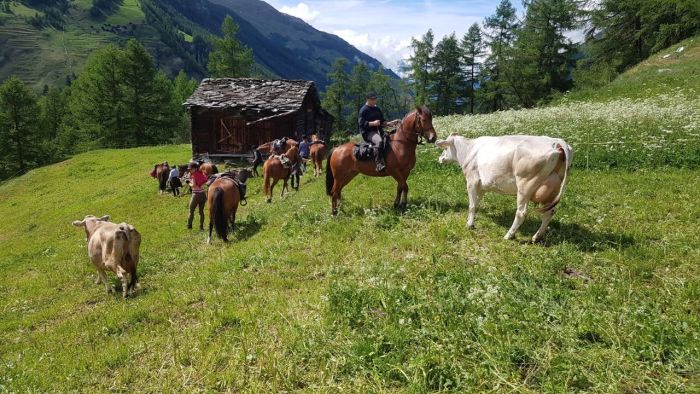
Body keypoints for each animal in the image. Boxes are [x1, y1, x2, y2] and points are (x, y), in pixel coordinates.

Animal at [438, 134, 576, 242]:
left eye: (445, 148)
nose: (440, 158)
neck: (469, 149)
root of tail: (556, 141)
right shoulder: (482, 186)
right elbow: (476, 203)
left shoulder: (472, 180)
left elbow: (471, 205)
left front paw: (469, 224)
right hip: (553, 188)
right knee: (549, 212)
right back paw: (537, 237)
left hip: (525, 185)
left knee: (521, 212)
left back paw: (509, 235)